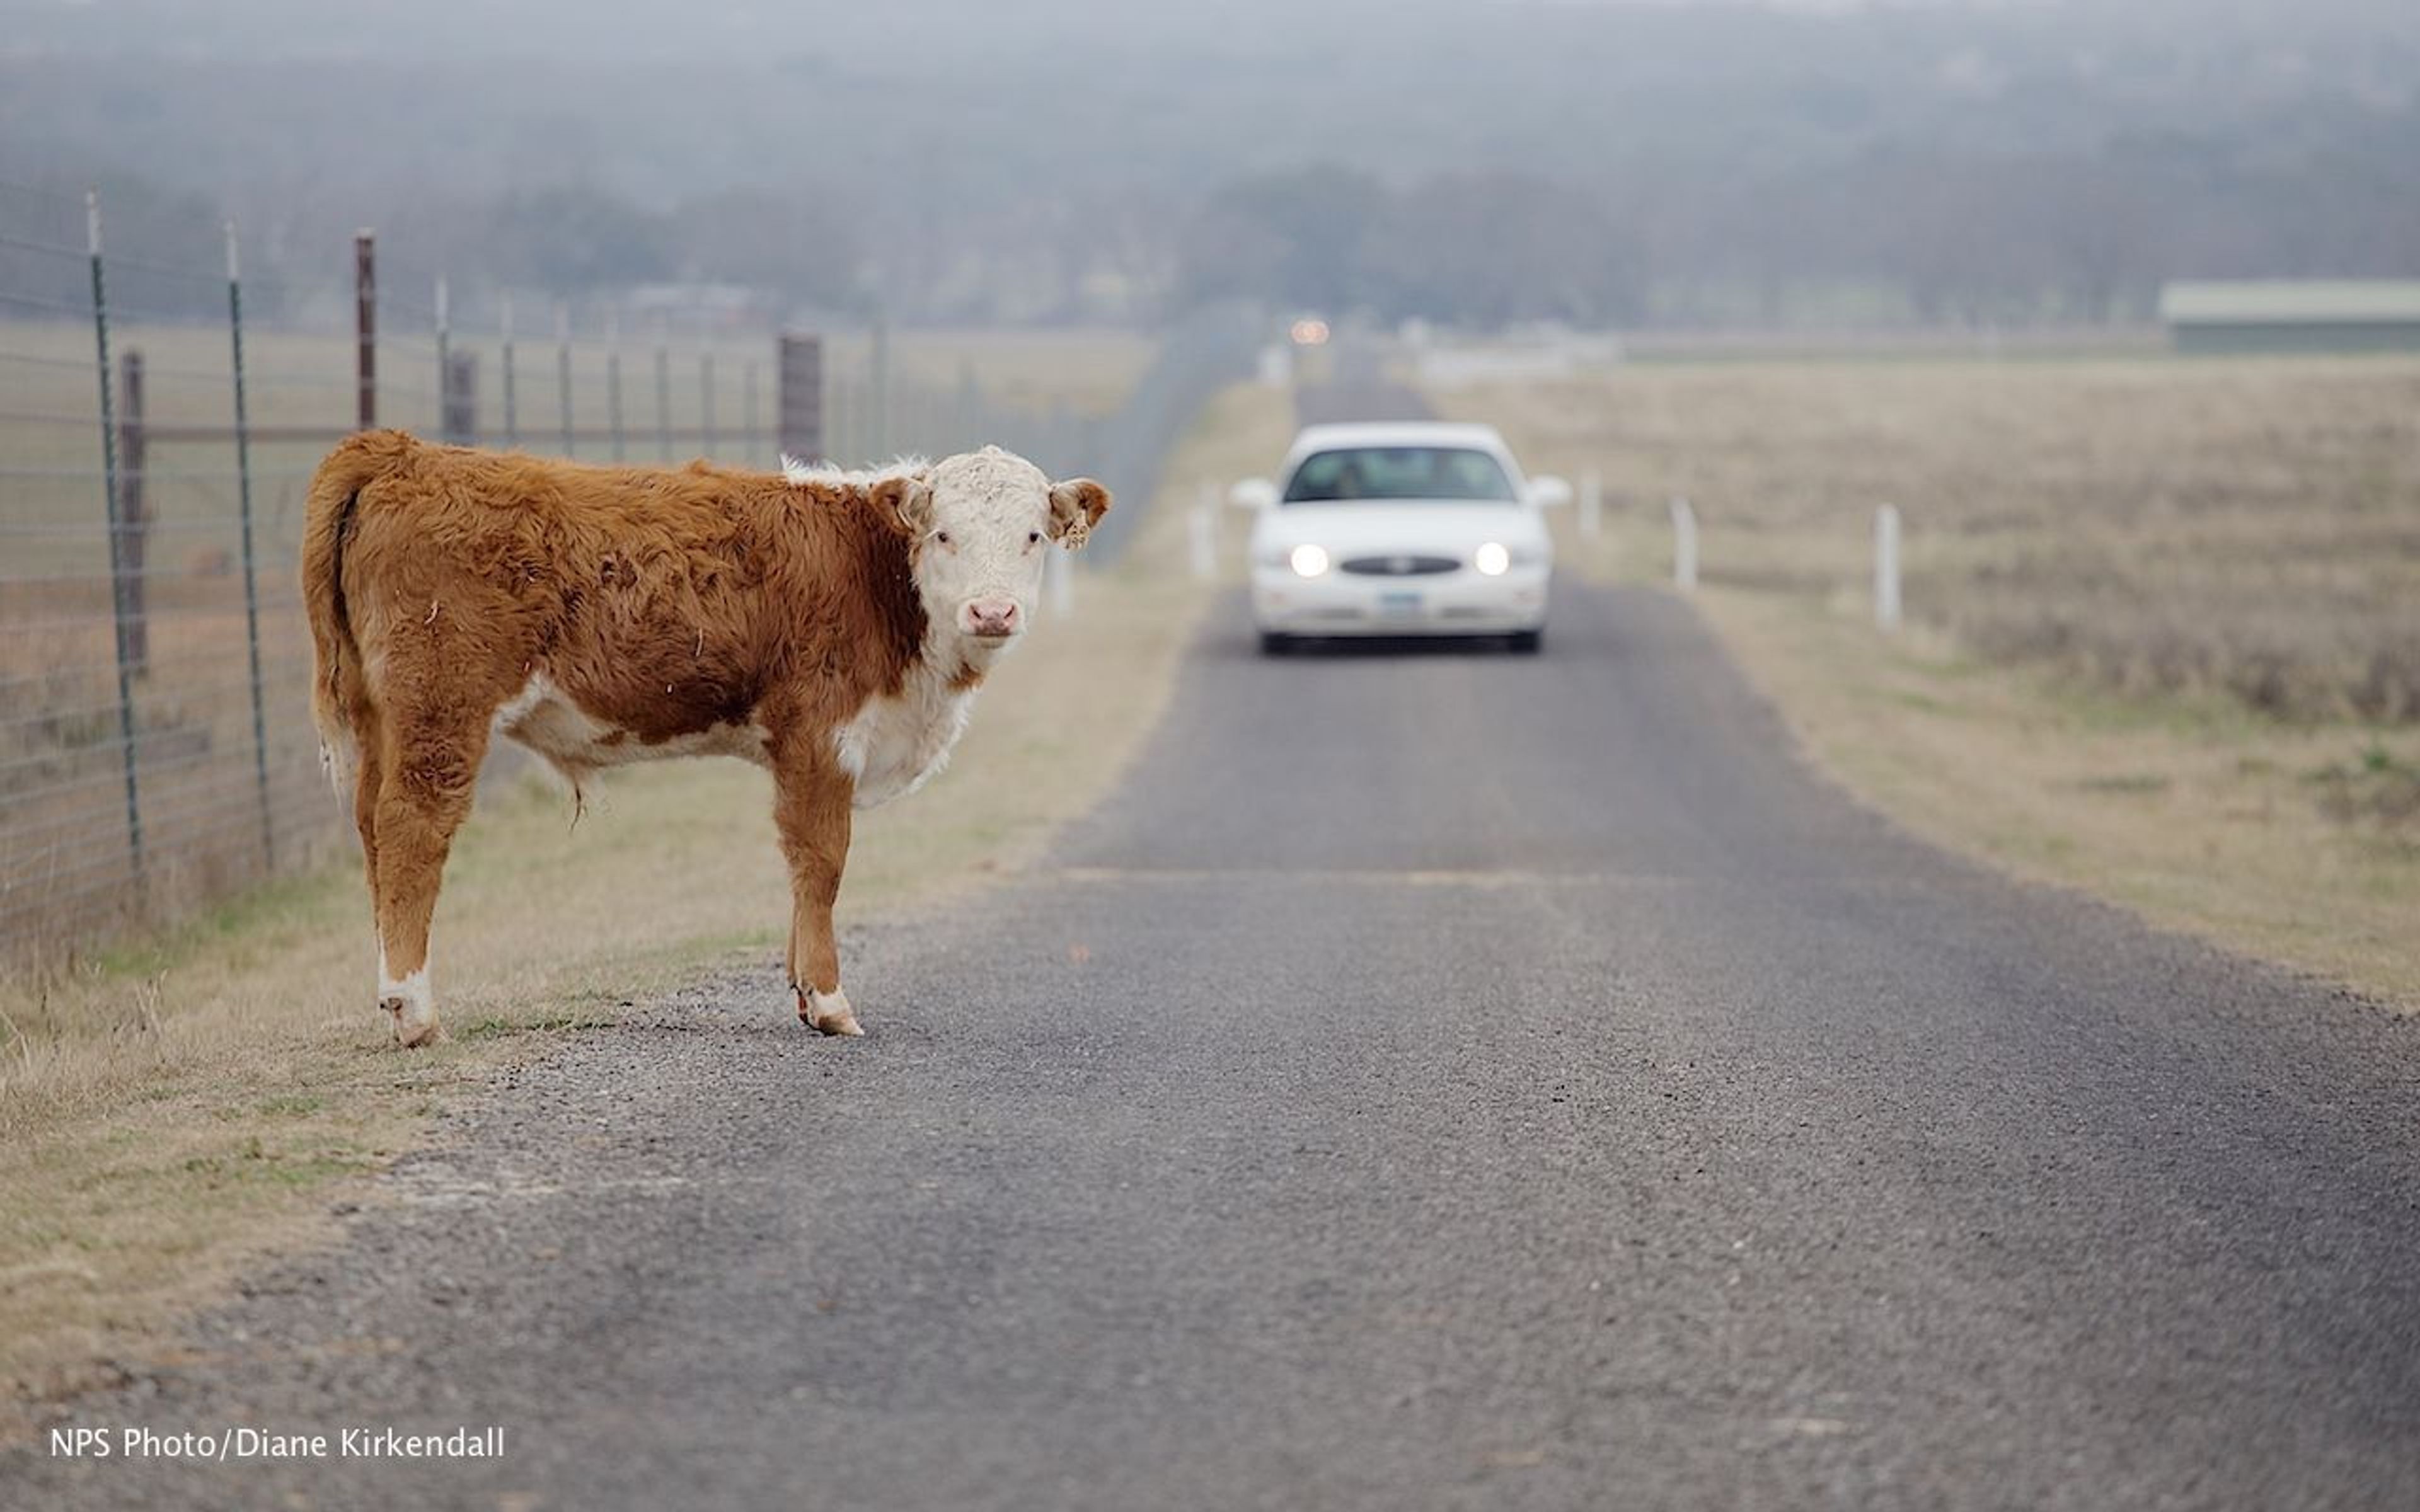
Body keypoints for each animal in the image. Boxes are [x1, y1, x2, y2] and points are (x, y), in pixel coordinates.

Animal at [295, 430, 1113, 1045]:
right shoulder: (820, 733)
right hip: (441, 709)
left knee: (372, 828)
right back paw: (414, 1011)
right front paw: (829, 1002)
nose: (993, 612)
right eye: (945, 534)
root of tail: (407, 451)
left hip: (381, 715)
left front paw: (800, 988)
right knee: (413, 829)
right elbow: (822, 860)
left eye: (1033, 536)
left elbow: (800, 868)